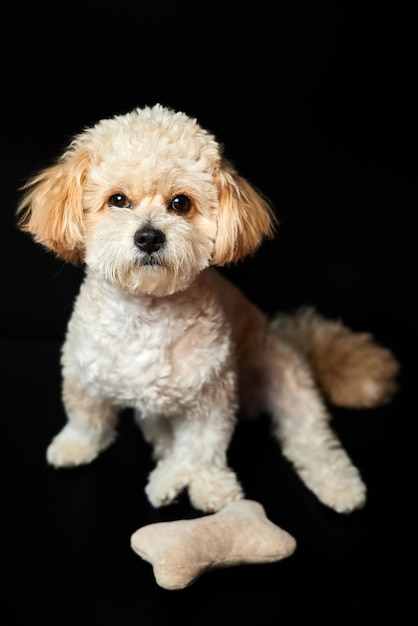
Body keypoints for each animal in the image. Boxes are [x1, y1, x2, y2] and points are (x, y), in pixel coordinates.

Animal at [16, 102, 400, 512]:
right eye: (117, 200)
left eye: (180, 203)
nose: (149, 236)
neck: (148, 310)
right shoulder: (83, 372)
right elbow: (86, 418)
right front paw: (74, 446)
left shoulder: (211, 395)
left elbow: (202, 446)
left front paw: (208, 486)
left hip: (290, 384)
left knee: (313, 438)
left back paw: (340, 486)